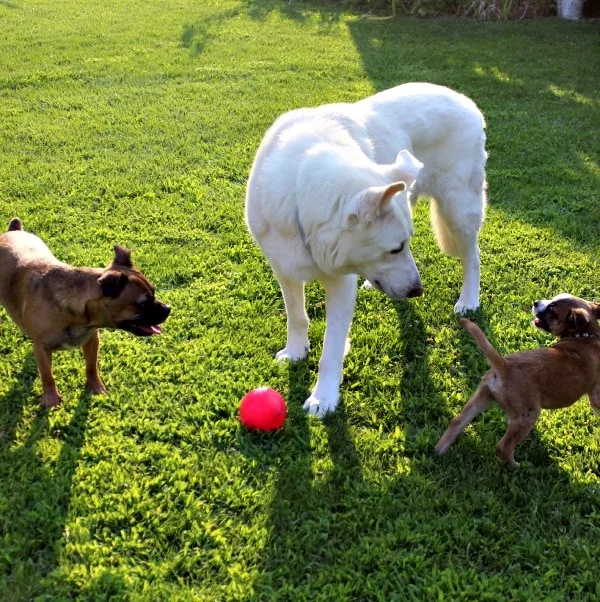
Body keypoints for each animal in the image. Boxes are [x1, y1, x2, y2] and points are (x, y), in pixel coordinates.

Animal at [0, 217, 170, 408]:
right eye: (142, 304)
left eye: (154, 292)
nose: (167, 308)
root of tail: (13, 231)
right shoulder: (42, 349)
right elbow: (48, 376)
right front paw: (51, 399)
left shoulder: (92, 339)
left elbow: (91, 366)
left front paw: (95, 387)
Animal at [246, 82, 486, 414]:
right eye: (396, 248)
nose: (417, 291)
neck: (299, 194)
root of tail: (464, 100)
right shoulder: (284, 269)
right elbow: (297, 316)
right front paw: (295, 351)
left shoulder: (340, 284)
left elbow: (331, 347)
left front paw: (323, 397)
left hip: (458, 208)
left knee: (472, 256)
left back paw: (468, 299)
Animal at [436, 292, 600, 462]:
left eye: (552, 310)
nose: (536, 302)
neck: (585, 336)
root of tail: (504, 366)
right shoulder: (596, 396)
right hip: (527, 415)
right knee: (504, 447)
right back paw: (517, 465)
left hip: (481, 397)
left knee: (457, 422)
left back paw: (439, 452)